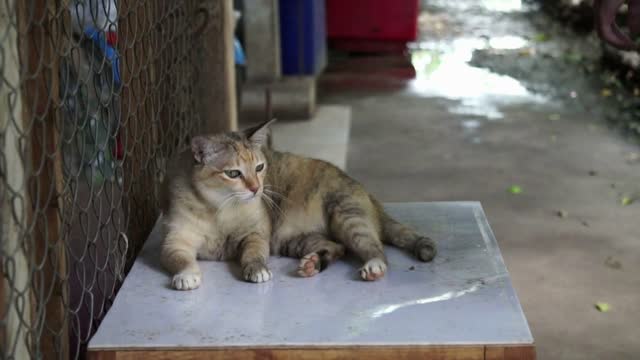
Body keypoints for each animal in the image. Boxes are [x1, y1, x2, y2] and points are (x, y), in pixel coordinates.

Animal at [159, 120, 436, 290]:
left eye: (259, 167)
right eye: (233, 173)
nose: (256, 189)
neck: (219, 209)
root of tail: (367, 192)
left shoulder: (256, 235)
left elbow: (252, 254)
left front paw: (257, 269)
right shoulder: (175, 241)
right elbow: (180, 260)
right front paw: (187, 275)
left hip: (347, 218)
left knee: (375, 249)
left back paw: (374, 266)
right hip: (293, 240)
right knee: (336, 248)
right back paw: (313, 264)